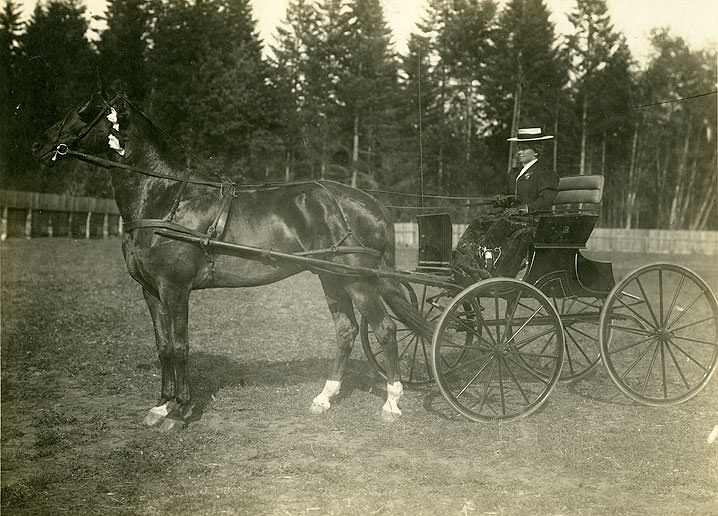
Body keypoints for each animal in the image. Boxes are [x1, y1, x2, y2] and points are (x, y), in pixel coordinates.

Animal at [33, 89, 430, 432]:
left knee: (385, 328)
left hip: (358, 280)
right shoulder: (151, 291)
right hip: (330, 276)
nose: (39, 144)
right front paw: (160, 407)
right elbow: (163, 347)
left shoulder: (175, 289)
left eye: (84, 112)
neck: (167, 198)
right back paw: (324, 398)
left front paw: (180, 411)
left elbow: (180, 346)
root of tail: (371, 202)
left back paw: (392, 402)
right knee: (346, 330)